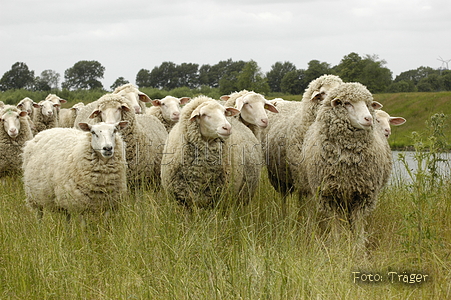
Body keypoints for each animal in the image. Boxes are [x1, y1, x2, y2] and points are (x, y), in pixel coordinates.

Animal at [302, 81, 394, 246]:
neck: (347, 161)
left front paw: (359, 247)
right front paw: (337, 245)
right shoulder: (329, 196)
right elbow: (336, 224)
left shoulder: (364, 195)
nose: (369, 118)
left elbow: (358, 224)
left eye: (368, 104)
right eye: (347, 103)